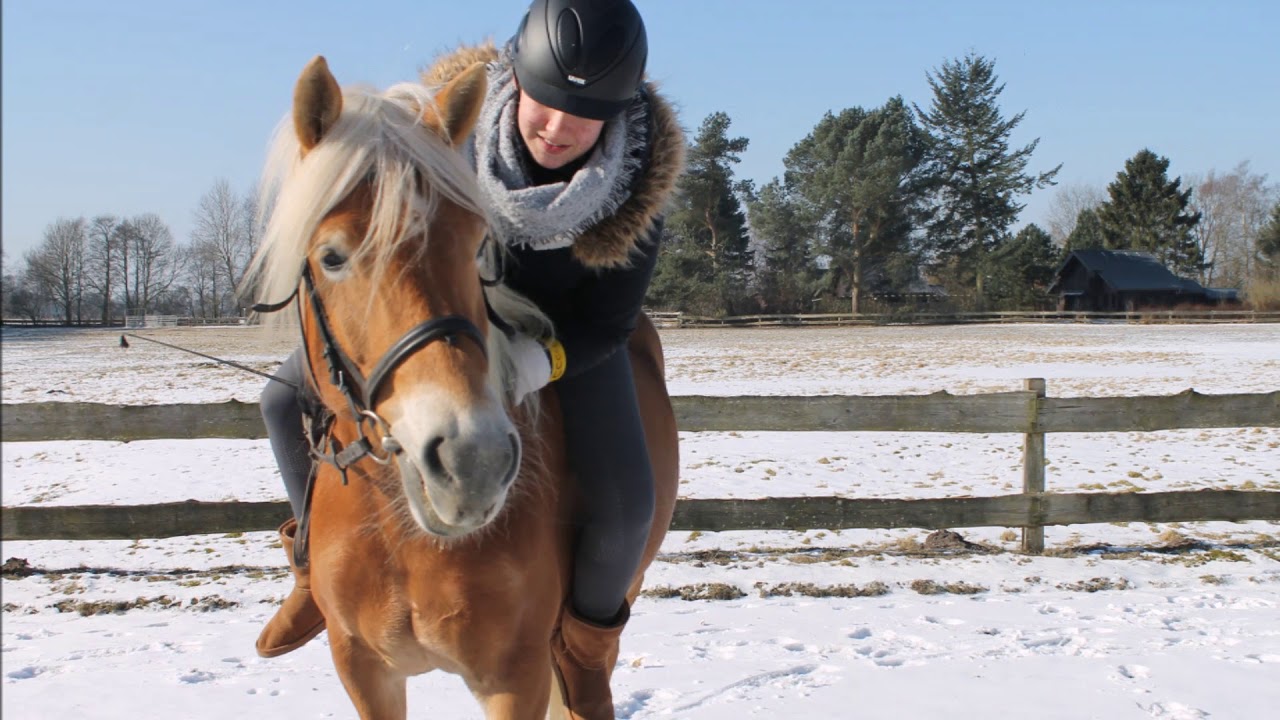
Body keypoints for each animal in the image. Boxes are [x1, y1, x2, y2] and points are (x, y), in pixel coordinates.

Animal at [244, 57, 678, 719]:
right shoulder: (363, 671)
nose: (472, 461)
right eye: (332, 256)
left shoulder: (513, 678)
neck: (399, 532)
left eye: (478, 246)